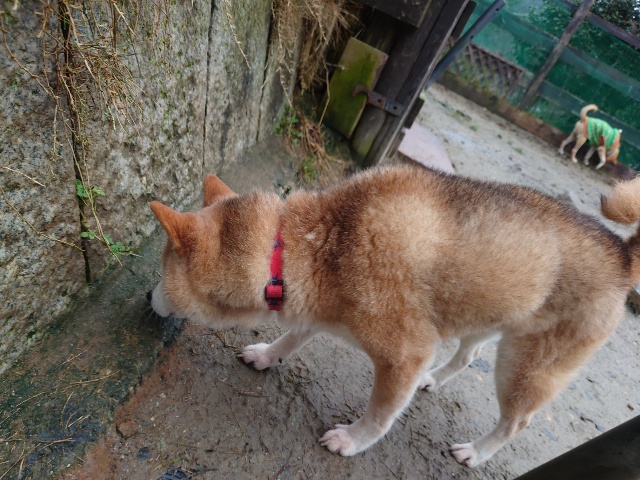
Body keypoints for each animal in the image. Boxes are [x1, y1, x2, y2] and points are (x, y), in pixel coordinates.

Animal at [149, 164, 640, 467]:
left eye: (160, 272)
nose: (148, 299)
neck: (299, 245)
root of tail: (622, 253)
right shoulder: (314, 310)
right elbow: (290, 339)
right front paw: (268, 356)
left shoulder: (406, 355)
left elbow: (381, 414)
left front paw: (352, 440)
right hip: (481, 318)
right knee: (466, 357)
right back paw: (434, 381)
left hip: (524, 368)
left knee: (516, 421)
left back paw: (476, 453)